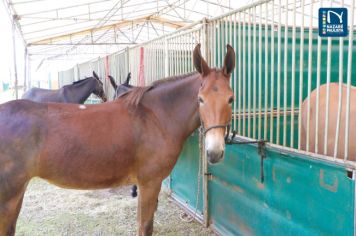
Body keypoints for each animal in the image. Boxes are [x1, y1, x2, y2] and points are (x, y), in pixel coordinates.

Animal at [0, 43, 236, 234]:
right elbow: (145, 226)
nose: (215, 152)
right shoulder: (149, 183)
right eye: (200, 99)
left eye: (231, 99)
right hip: (9, 196)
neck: (156, 117)